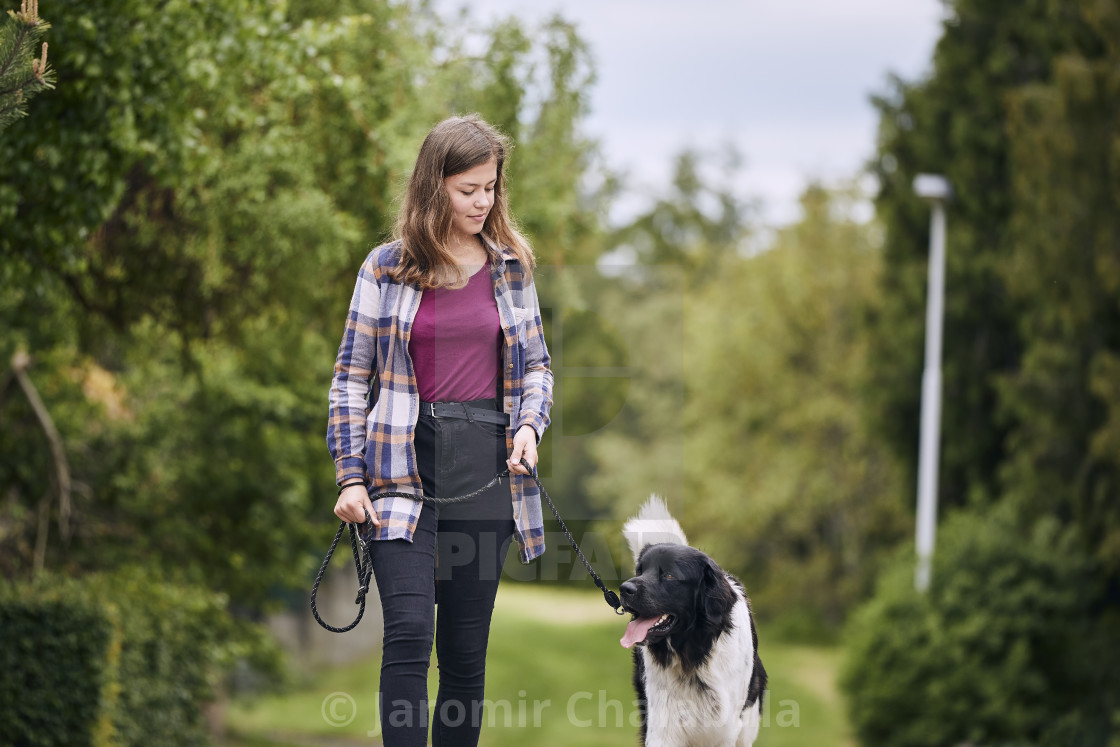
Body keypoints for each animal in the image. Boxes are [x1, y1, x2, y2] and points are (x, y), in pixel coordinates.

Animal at [618, 497, 766, 747]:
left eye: (669, 575)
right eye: (640, 571)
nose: (624, 589)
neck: (692, 656)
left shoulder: (725, 729)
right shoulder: (662, 727)